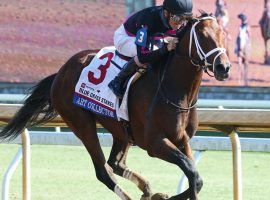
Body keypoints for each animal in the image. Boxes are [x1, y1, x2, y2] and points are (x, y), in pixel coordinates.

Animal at [1, 13, 231, 199]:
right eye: (202, 36)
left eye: (222, 34)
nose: (224, 67)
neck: (173, 89)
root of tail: (60, 72)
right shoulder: (155, 143)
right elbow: (192, 172)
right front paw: (162, 196)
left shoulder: (182, 139)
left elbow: (195, 177)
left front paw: (161, 195)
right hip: (81, 122)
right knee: (104, 171)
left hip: (121, 129)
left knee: (116, 163)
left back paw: (146, 189)